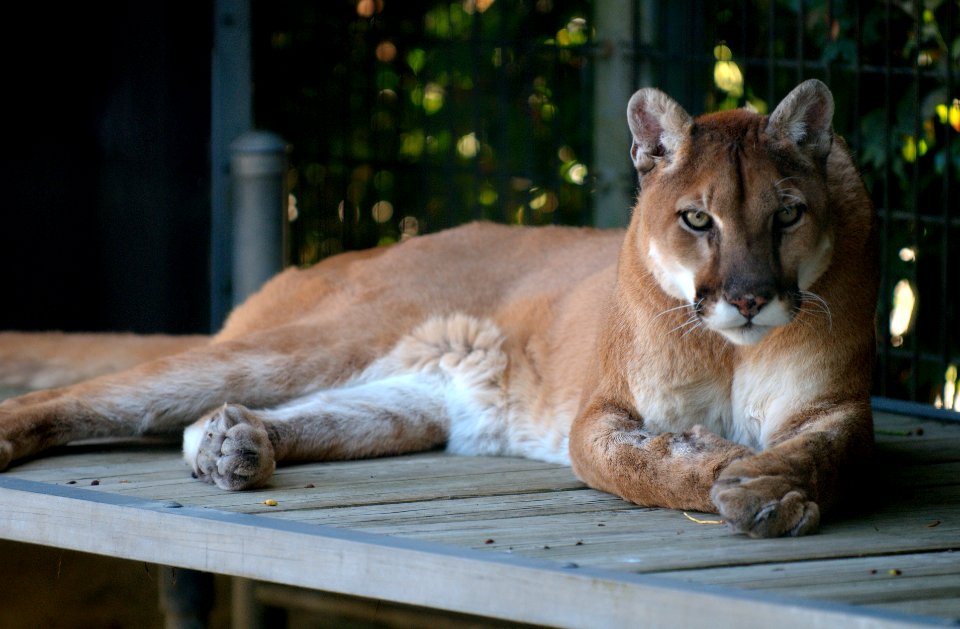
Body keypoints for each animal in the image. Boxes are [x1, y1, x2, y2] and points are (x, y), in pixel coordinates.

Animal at [0, 81, 876, 536]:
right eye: (698, 219)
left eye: (786, 214)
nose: (750, 297)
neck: (729, 345)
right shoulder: (602, 410)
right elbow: (634, 464)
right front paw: (721, 466)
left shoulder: (836, 403)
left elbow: (829, 451)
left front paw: (767, 482)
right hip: (315, 340)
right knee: (92, 394)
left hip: (410, 401)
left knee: (220, 422)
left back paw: (233, 445)